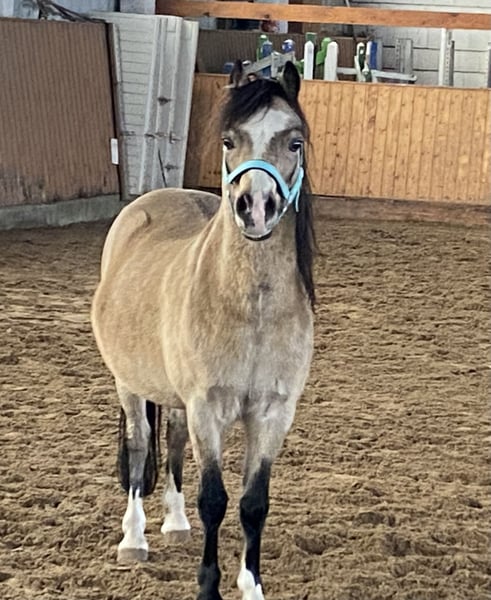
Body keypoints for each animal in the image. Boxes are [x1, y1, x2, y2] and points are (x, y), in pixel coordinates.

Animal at [91, 60, 315, 600]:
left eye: (294, 142)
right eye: (229, 140)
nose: (256, 206)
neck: (252, 310)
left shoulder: (273, 414)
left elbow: (254, 504)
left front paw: (252, 585)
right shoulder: (206, 409)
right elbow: (214, 499)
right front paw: (208, 587)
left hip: (174, 398)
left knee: (171, 442)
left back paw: (174, 524)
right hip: (129, 385)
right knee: (139, 448)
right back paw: (134, 540)